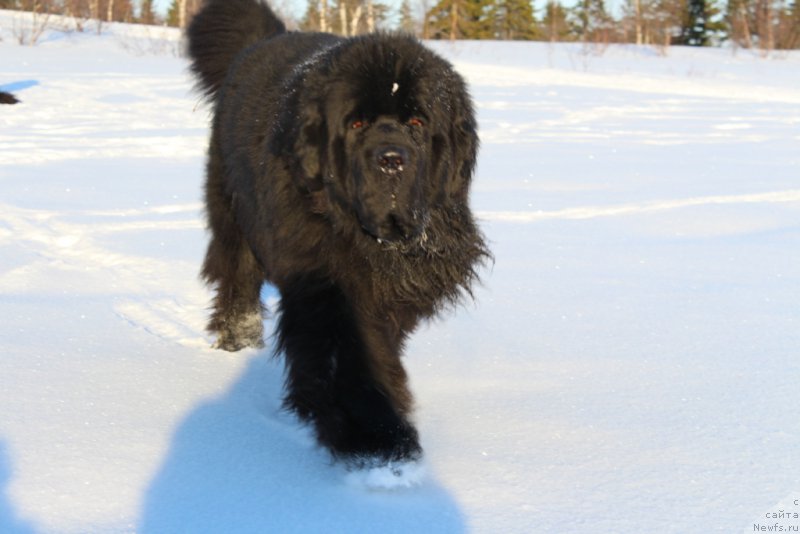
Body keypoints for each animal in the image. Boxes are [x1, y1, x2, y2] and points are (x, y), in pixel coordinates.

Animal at [188, 0, 488, 468]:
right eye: (357, 124)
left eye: (418, 121)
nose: (391, 159)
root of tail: (266, 40)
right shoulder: (327, 284)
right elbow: (350, 355)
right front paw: (375, 438)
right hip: (233, 208)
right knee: (237, 276)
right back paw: (238, 338)